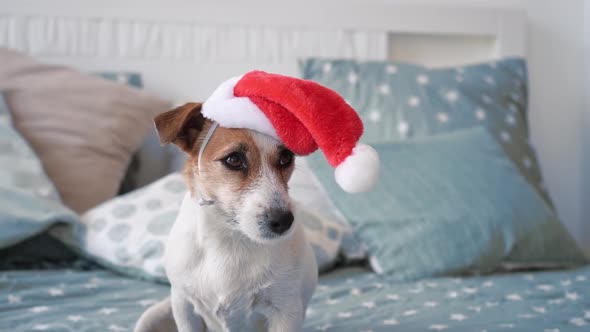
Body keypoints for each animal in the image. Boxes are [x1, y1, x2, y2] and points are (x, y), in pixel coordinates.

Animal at [134, 102, 320, 330]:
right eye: (233, 159)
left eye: (286, 158)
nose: (284, 221)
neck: (229, 238)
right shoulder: (183, 305)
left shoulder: (285, 311)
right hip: (151, 318)